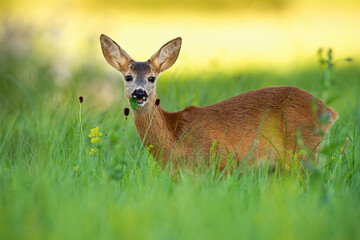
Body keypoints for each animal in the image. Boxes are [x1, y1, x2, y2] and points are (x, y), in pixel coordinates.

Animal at [100, 34, 338, 169]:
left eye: (152, 78)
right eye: (128, 77)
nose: (139, 94)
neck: (174, 135)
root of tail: (329, 111)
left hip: (302, 149)